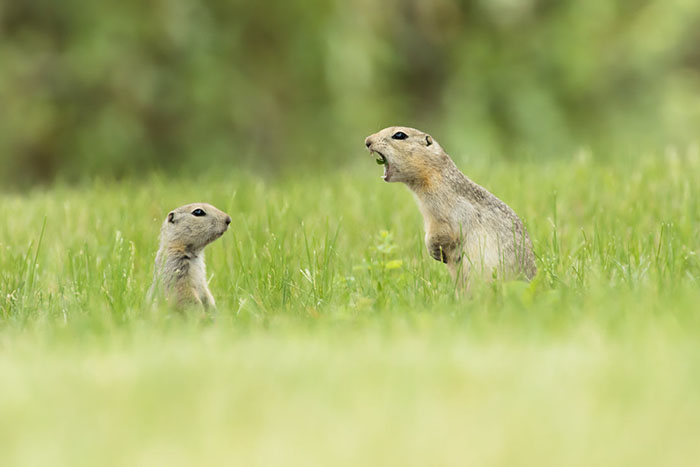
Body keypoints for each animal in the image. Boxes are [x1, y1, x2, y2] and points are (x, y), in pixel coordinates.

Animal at [364, 126, 536, 288]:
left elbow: (444, 233)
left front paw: (436, 253)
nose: (367, 141)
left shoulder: (443, 211)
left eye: (399, 135)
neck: (434, 176)